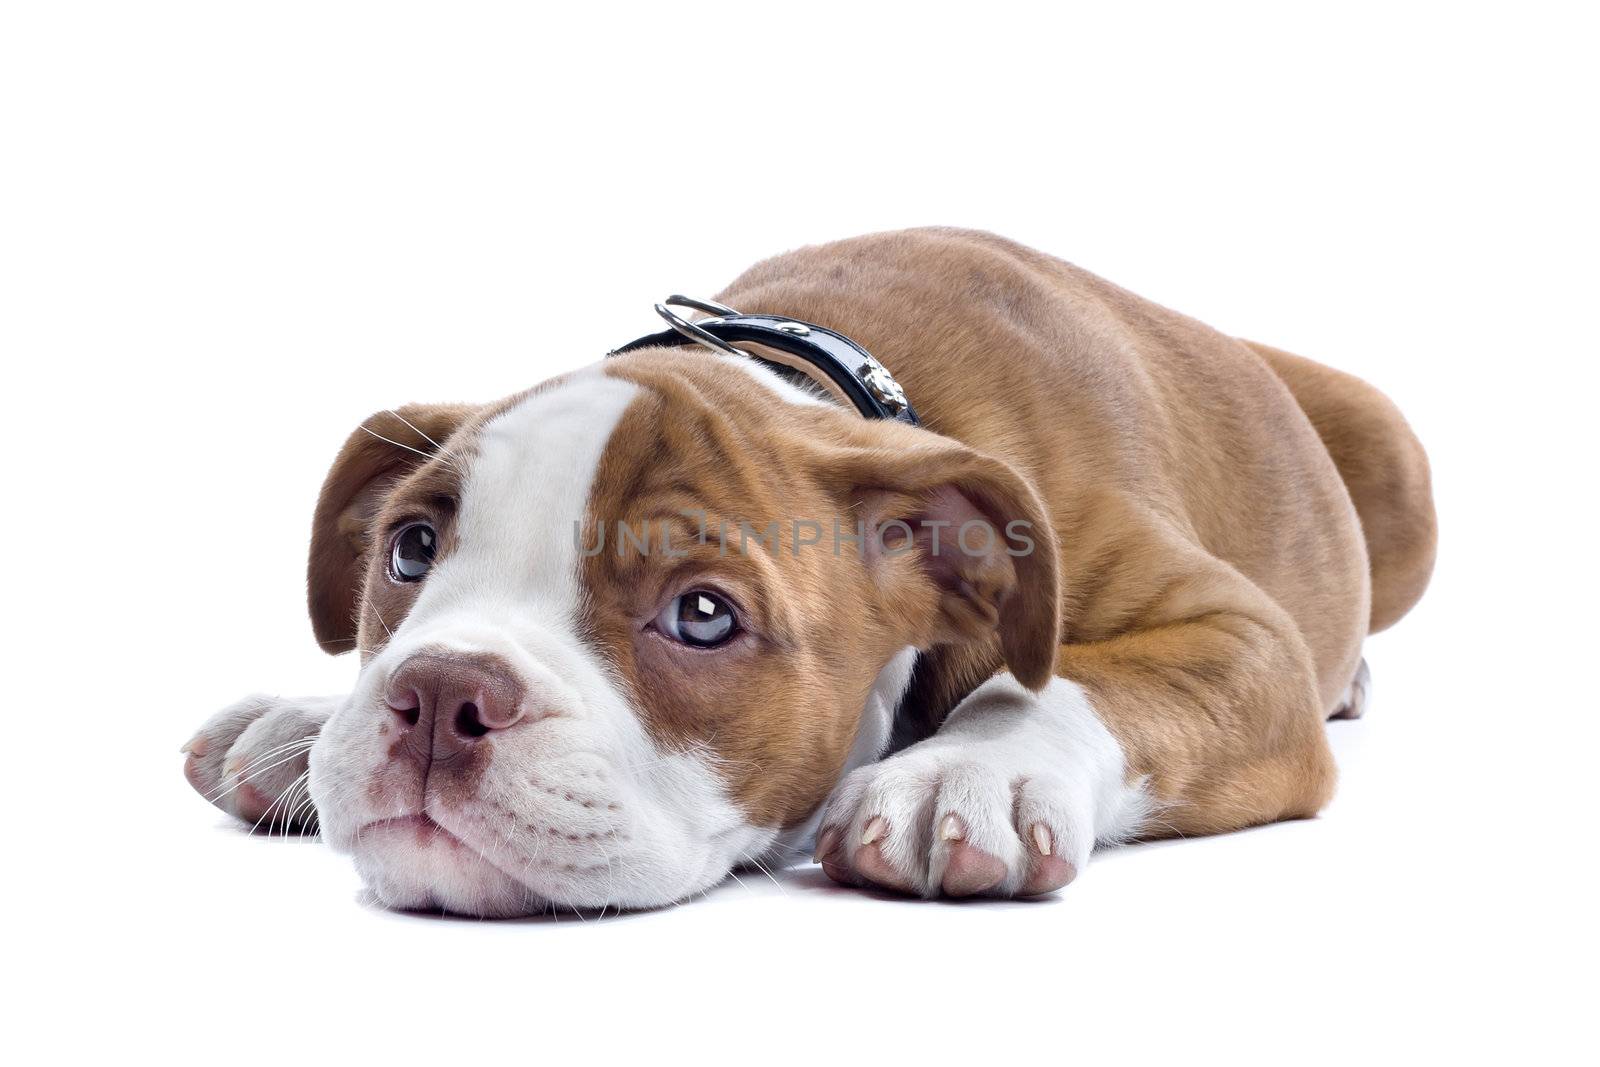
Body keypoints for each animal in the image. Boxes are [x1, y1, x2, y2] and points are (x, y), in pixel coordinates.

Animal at [181, 230, 1433, 915]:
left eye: (701, 615)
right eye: (409, 549)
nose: (441, 692)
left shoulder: (1240, 637)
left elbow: (1060, 679)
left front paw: (968, 769)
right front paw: (305, 718)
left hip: (1395, 463)